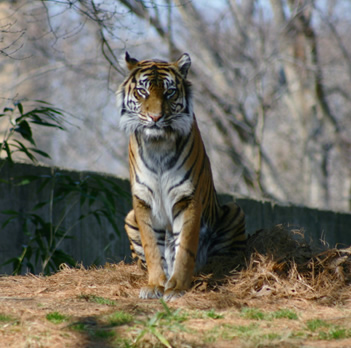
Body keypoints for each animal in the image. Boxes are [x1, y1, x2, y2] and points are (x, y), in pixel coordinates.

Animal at [117, 52, 246, 302]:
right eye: (142, 91)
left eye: (170, 92)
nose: (155, 117)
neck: (157, 145)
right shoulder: (142, 200)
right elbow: (152, 247)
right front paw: (155, 285)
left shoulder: (188, 198)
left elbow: (184, 247)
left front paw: (176, 288)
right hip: (129, 218)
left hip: (235, 211)